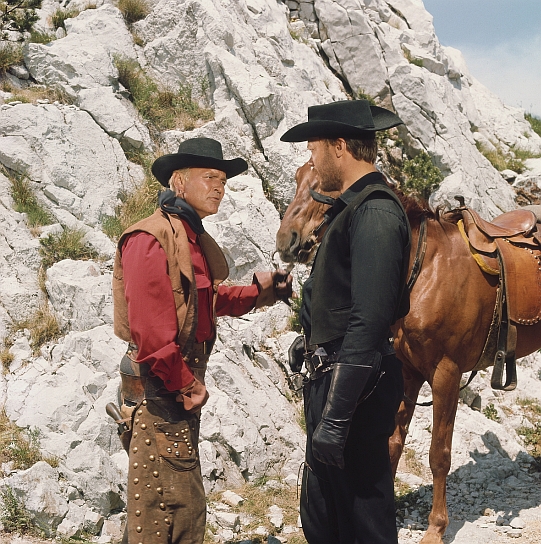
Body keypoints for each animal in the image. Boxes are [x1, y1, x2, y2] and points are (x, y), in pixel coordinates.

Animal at [276, 163, 540, 544]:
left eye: (327, 188)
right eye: (297, 177)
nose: (287, 239)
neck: (425, 268)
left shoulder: (446, 374)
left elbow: (439, 455)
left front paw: (436, 527)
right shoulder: (407, 373)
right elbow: (391, 443)